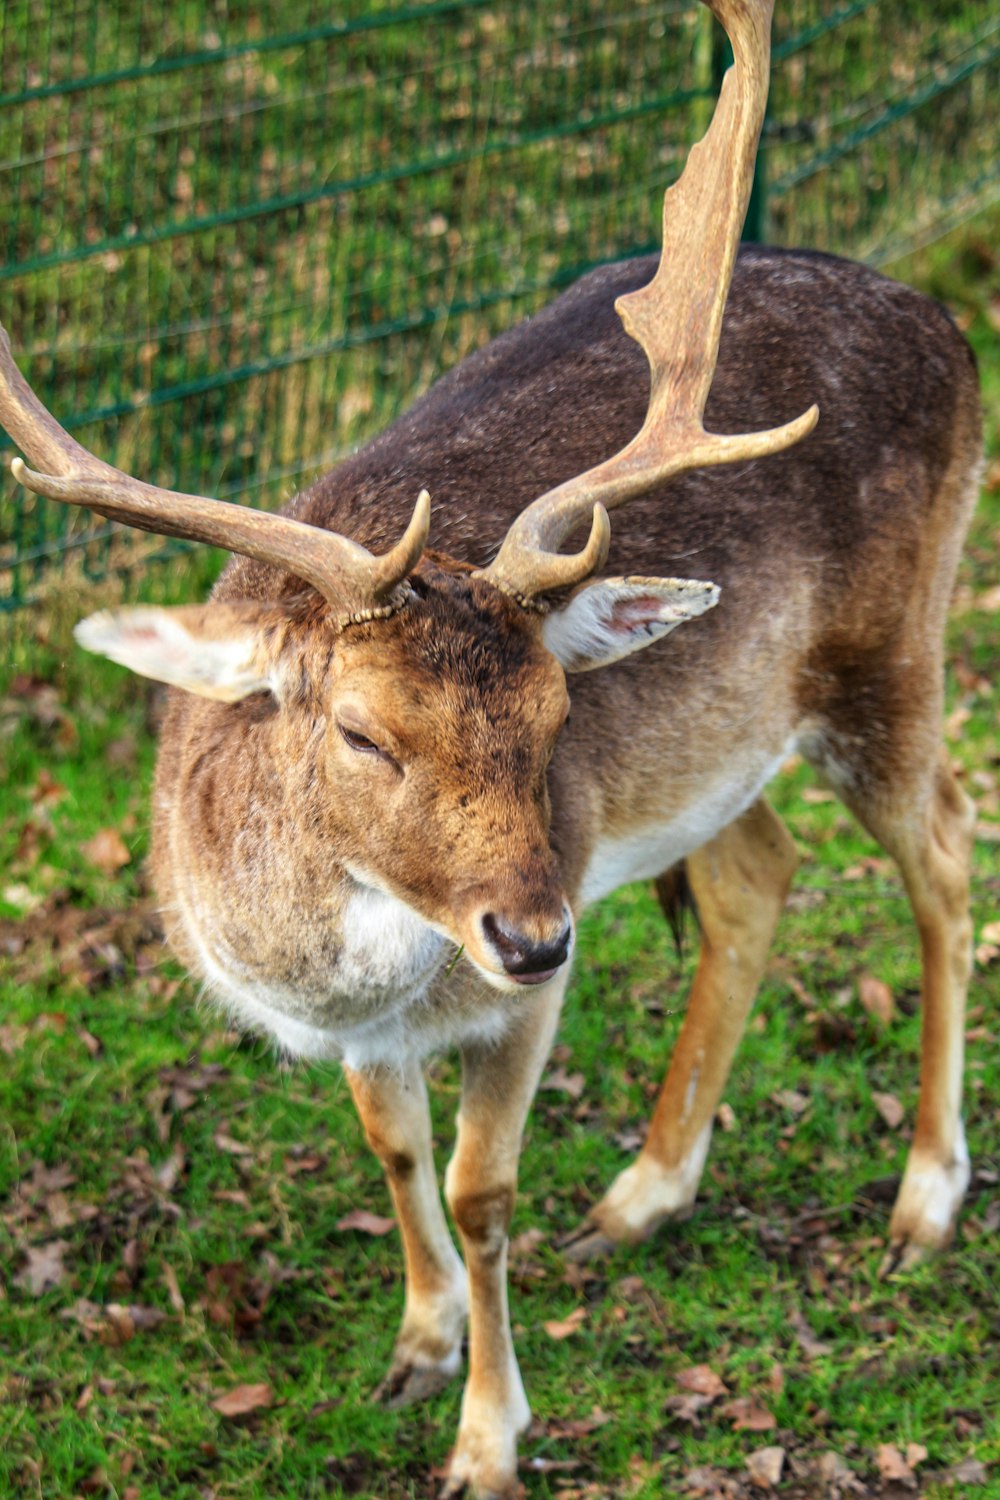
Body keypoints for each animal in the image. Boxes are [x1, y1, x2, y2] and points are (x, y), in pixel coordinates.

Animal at [0, 0, 983, 1494]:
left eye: (552, 715)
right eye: (358, 731)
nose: (534, 933)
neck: (345, 974)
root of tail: (948, 324)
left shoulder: (517, 1004)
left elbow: (479, 1187)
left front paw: (487, 1437)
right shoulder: (371, 1030)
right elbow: (395, 1153)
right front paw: (418, 1345)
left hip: (894, 647)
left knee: (943, 848)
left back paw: (925, 1197)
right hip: (725, 746)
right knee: (758, 868)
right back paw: (643, 1193)